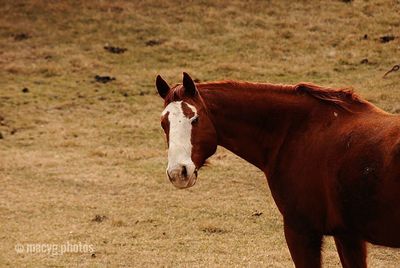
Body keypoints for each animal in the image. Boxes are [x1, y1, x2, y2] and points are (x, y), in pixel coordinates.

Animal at [155, 72, 400, 266]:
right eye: (163, 123)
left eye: (194, 119)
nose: (178, 172)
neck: (298, 130)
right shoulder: (348, 236)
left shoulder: (301, 231)